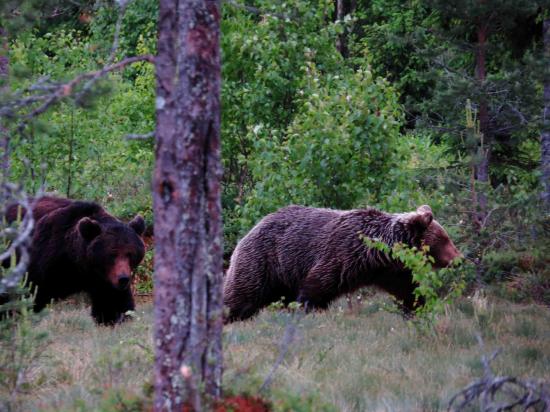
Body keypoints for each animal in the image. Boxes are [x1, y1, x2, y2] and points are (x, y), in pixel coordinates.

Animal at [1, 196, 147, 326]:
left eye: (130, 254)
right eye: (112, 254)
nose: (123, 279)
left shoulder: (102, 279)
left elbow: (113, 301)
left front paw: (115, 318)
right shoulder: (40, 263)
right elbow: (27, 294)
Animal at [223, 205, 462, 322]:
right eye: (445, 240)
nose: (459, 259)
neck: (377, 253)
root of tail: (248, 232)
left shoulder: (389, 272)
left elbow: (408, 291)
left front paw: (417, 309)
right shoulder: (342, 254)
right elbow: (317, 285)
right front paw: (307, 308)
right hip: (264, 261)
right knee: (242, 295)